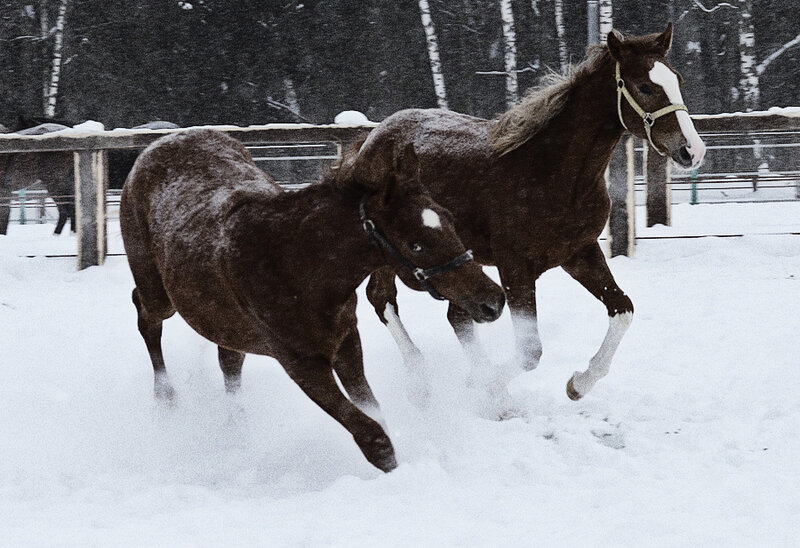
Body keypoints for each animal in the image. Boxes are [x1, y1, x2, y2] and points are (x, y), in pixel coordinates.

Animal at [120, 129, 505, 472]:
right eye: (416, 244)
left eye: (450, 221)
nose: (493, 300)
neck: (295, 265)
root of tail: (159, 143)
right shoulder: (301, 362)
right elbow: (372, 435)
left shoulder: (346, 340)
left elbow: (373, 410)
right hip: (159, 294)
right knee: (145, 315)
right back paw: (165, 399)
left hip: (224, 322)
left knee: (228, 360)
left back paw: (236, 428)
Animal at [351, 23, 707, 401]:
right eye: (644, 86)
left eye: (677, 79)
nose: (692, 151)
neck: (552, 173)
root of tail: (372, 137)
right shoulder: (514, 266)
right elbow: (529, 351)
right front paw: (492, 386)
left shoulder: (579, 253)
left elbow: (622, 309)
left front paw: (578, 384)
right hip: (394, 253)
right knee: (383, 298)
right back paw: (421, 379)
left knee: (456, 316)